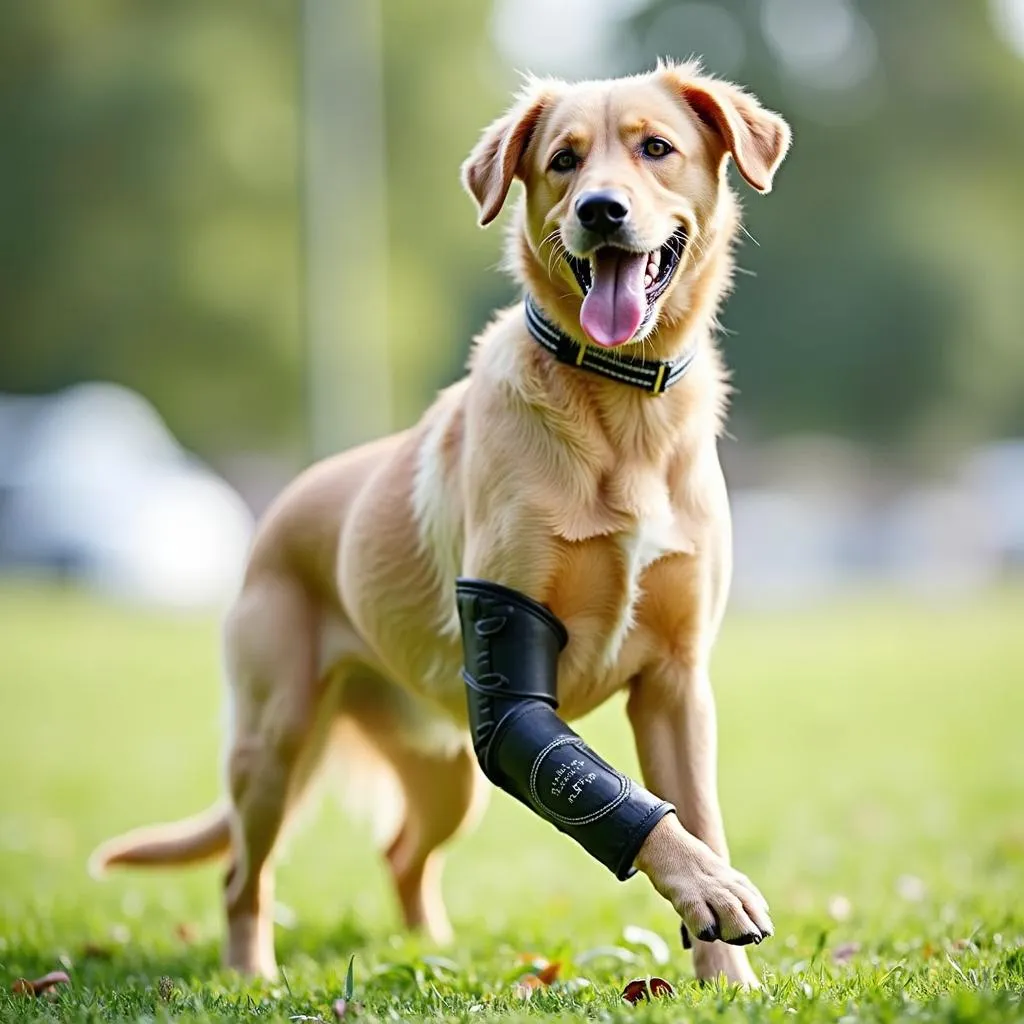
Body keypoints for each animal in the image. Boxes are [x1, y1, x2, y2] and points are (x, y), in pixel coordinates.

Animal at [90, 59, 790, 987]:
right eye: (564, 161)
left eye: (656, 148)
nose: (601, 210)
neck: (620, 409)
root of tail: (277, 510)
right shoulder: (513, 688)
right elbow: (643, 812)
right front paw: (714, 893)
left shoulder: (676, 687)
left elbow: (698, 814)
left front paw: (728, 980)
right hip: (276, 744)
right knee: (245, 873)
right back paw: (253, 975)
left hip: (447, 772)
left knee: (400, 855)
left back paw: (433, 952)